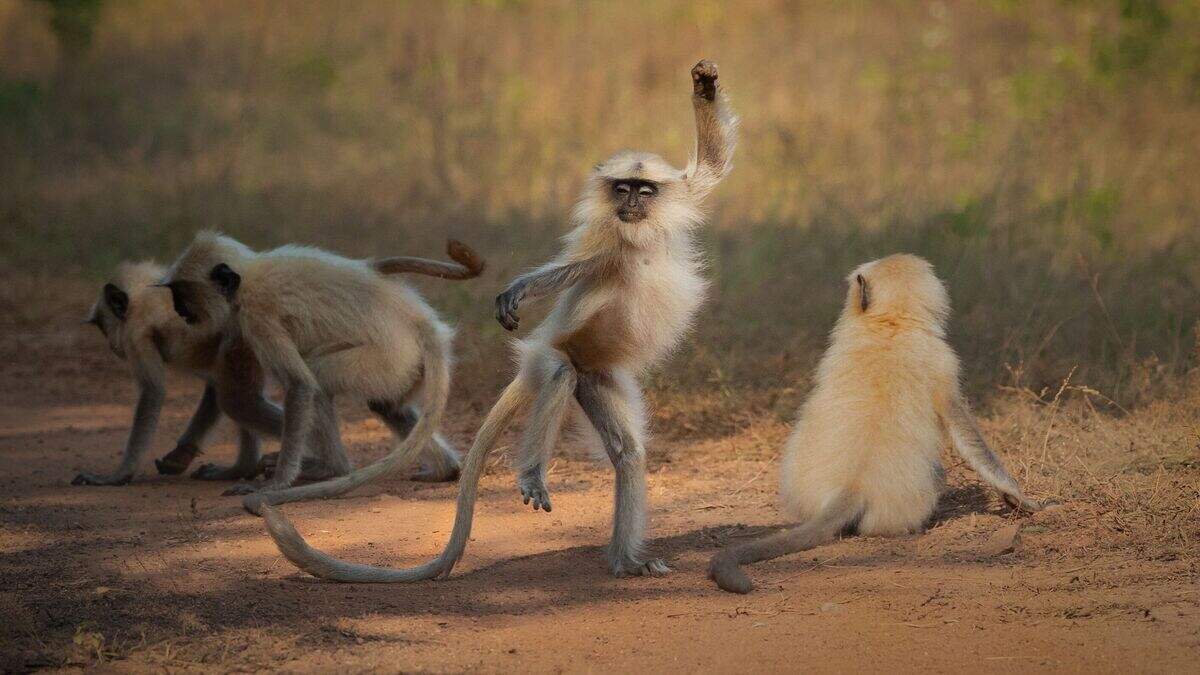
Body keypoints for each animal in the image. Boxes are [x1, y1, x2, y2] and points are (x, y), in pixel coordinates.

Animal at [161, 232, 473, 513]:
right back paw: (444, 469)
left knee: (317, 380)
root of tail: (420, 322)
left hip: (384, 358)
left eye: (181, 294)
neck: (248, 275)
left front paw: (275, 485)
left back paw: (331, 469)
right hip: (406, 366)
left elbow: (300, 384)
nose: (178, 311)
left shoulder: (256, 315)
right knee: (385, 404)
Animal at [259, 59, 738, 581]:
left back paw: (625, 562)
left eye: (644, 191)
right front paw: (519, 290)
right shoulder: (604, 243)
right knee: (559, 372)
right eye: (622, 190)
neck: (640, 233)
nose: (629, 204)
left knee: (628, 454)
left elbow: (710, 168)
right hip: (556, 355)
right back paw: (533, 475)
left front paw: (705, 85)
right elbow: (571, 270)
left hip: (599, 377)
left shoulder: (669, 203)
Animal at [707, 254, 1042, 594]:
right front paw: (1019, 497)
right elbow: (968, 436)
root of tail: (852, 486)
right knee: (938, 474)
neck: (891, 323)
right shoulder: (944, 361)